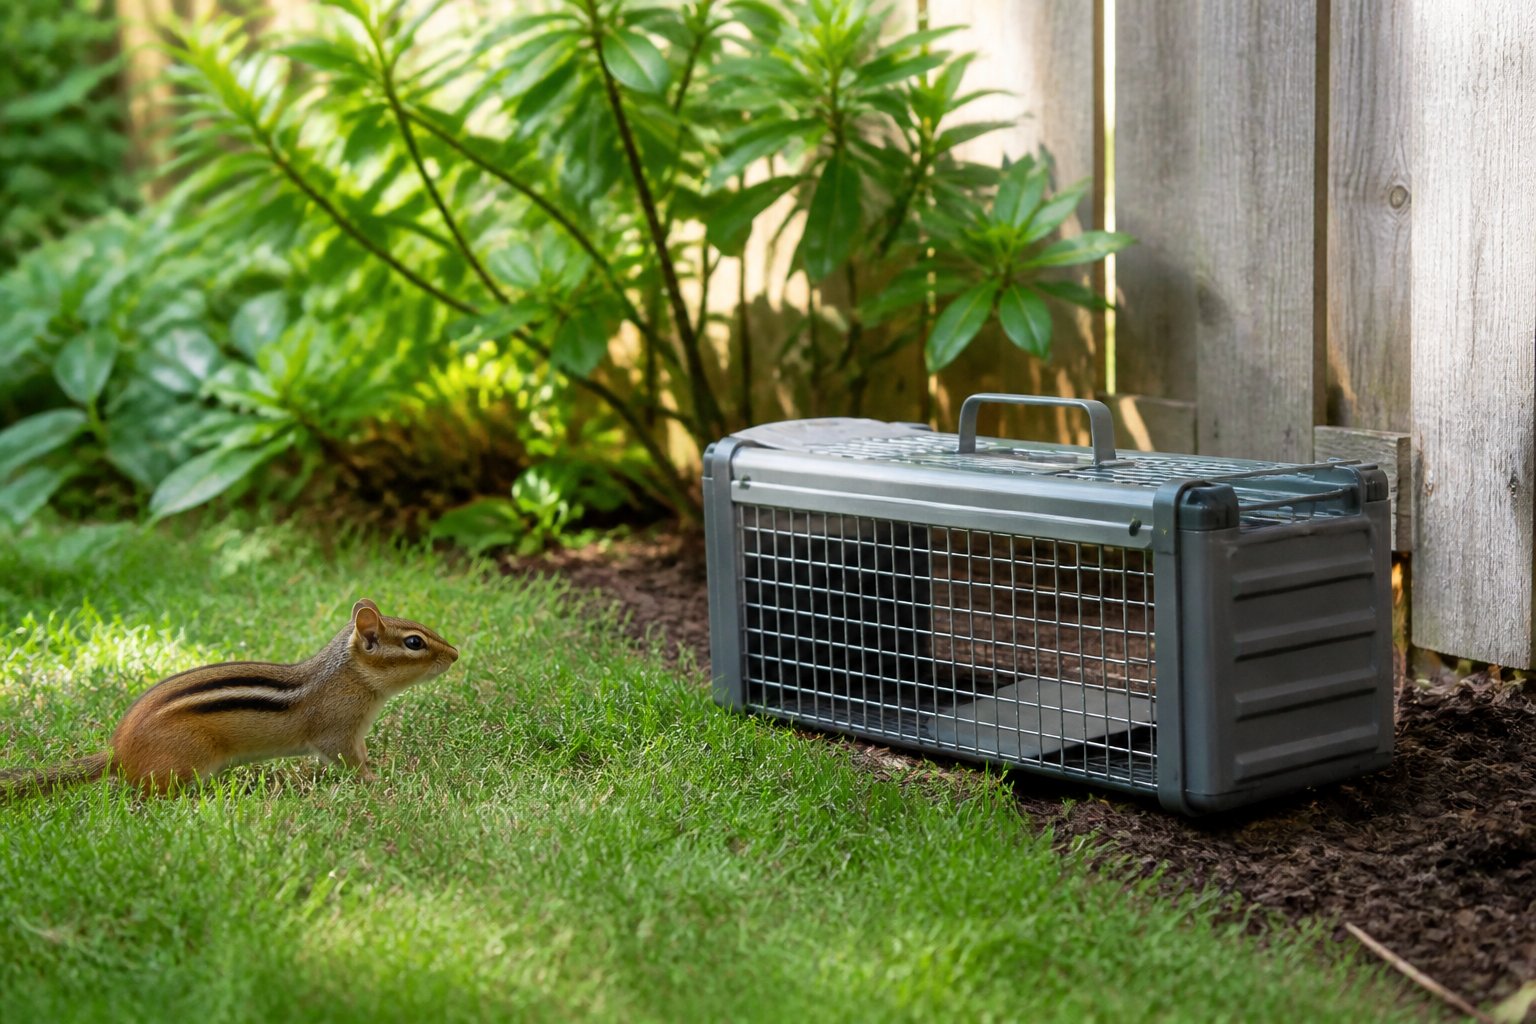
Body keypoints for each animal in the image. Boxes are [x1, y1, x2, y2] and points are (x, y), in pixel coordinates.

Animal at [1, 599, 458, 798]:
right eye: (414, 642)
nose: (455, 654)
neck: (349, 676)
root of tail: (117, 751)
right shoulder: (337, 731)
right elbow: (348, 760)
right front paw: (376, 781)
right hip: (186, 761)